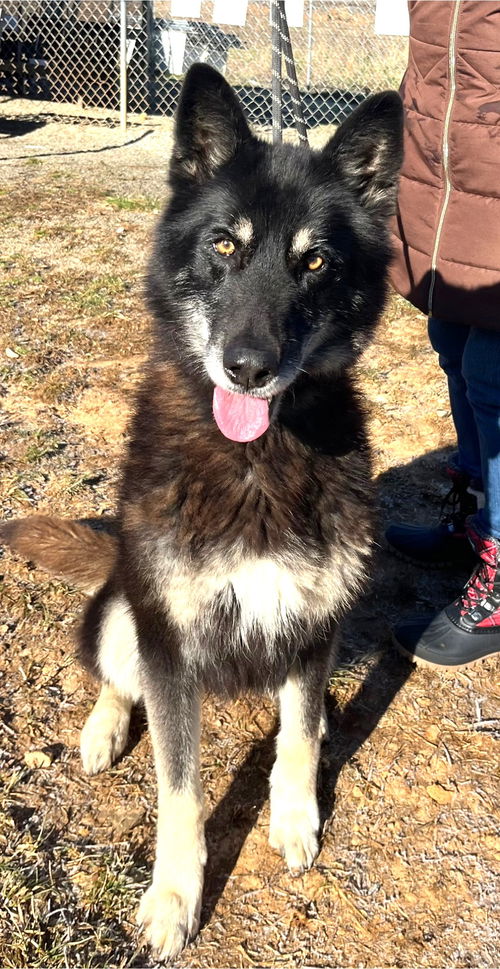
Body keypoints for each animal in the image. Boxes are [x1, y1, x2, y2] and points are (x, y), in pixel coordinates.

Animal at [0, 66, 404, 960]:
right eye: (224, 244)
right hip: (128, 604)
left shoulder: (312, 621)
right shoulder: (169, 636)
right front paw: (174, 897)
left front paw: (295, 816)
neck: (256, 459)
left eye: (315, 261)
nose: (248, 367)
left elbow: (297, 733)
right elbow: (179, 790)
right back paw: (103, 727)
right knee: (114, 674)